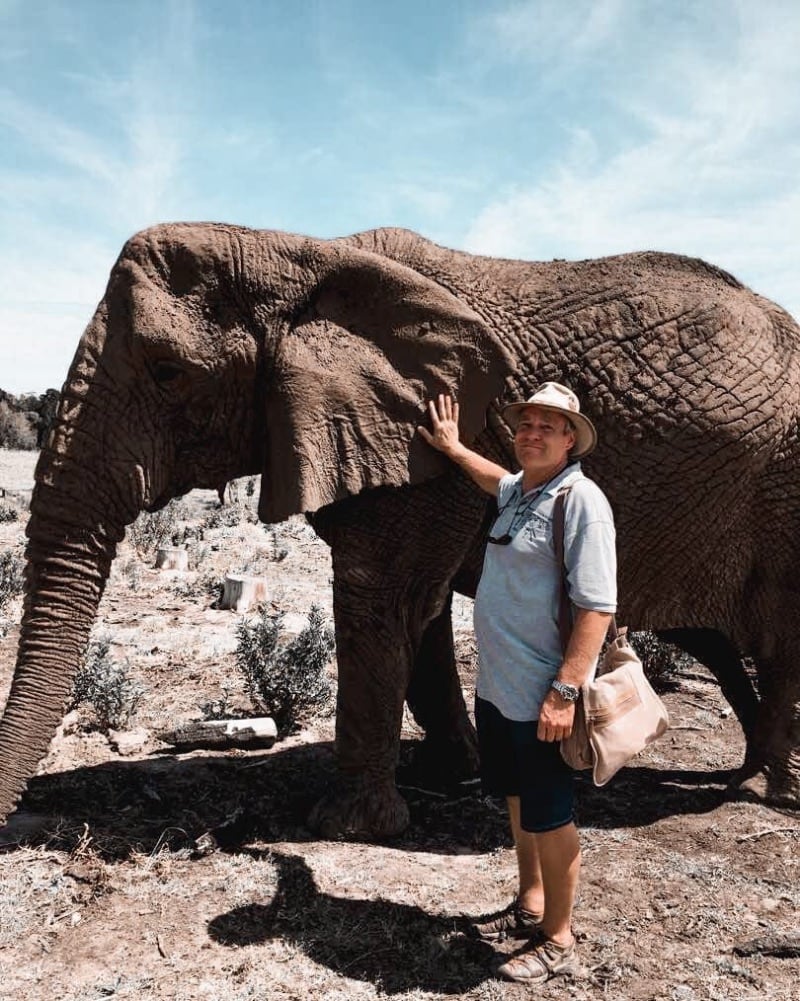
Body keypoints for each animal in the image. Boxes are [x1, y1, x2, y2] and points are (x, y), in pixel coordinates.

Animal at [1, 222, 798, 841]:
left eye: (168, 371)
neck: (296, 255)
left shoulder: (421, 450)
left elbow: (382, 600)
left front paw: (345, 828)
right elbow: (423, 610)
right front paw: (453, 776)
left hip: (785, 486)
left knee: (778, 640)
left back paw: (770, 793)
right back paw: (751, 773)